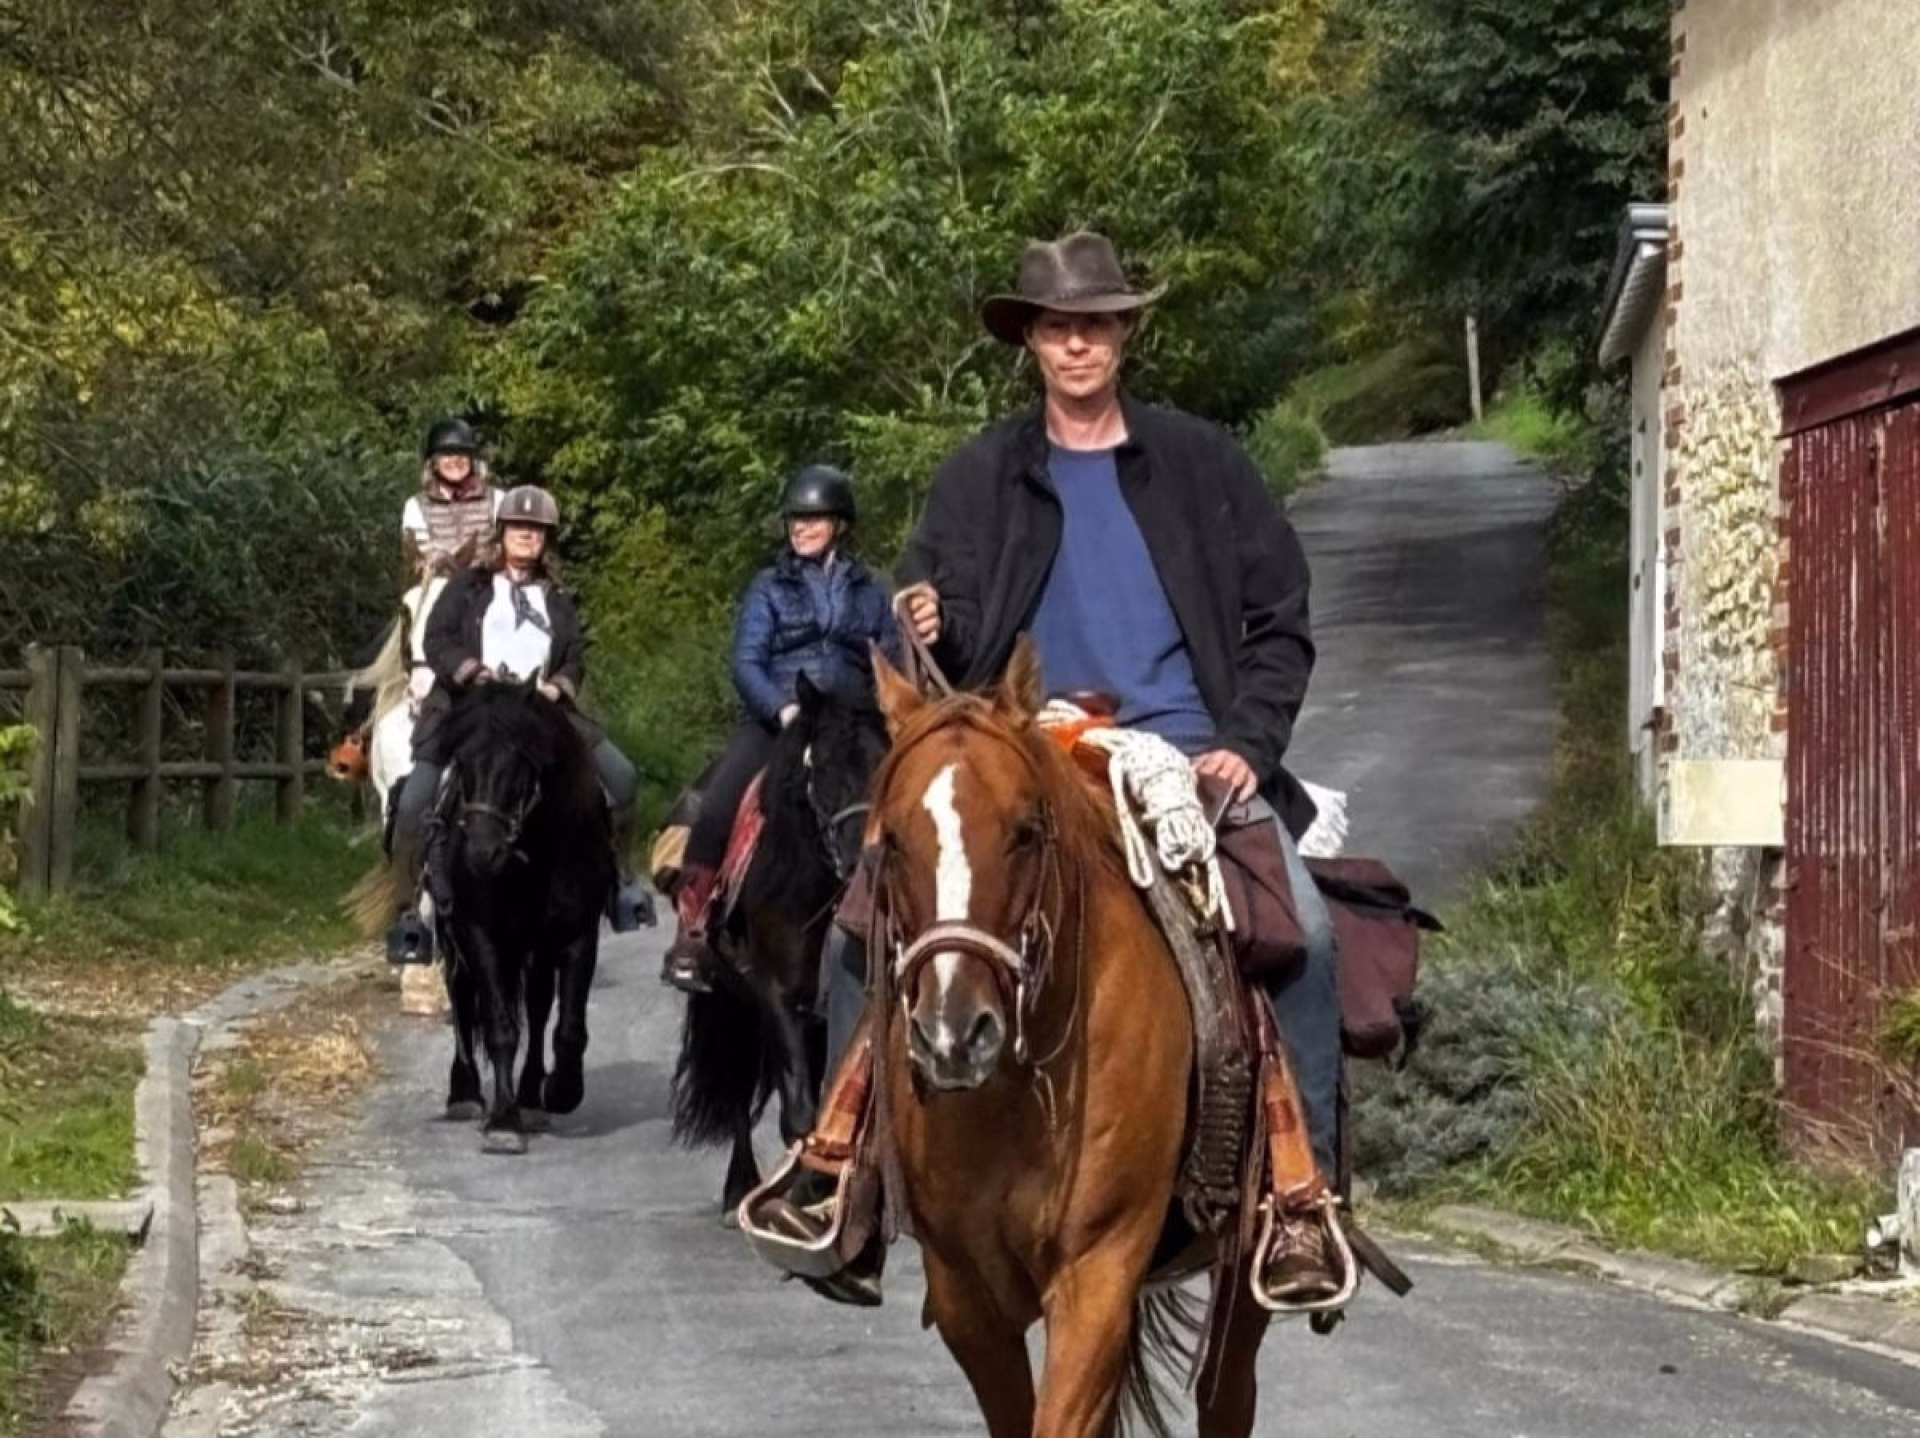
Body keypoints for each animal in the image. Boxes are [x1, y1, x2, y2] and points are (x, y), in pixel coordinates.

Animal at [356, 679, 611, 1154]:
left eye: (522, 764)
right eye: (462, 764)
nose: (481, 852)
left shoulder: (576, 935)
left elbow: (567, 1026)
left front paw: (560, 1092)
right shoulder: (481, 933)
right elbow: (498, 1025)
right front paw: (504, 1122)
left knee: (538, 1007)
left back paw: (532, 1098)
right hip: (454, 934)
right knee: (461, 997)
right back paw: (466, 1093)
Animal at [670, 674, 890, 1217]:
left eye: (883, 761)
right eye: (823, 765)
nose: (859, 859)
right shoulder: (776, 993)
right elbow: (798, 1108)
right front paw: (799, 1192)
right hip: (735, 1003)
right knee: (740, 1089)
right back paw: (738, 1189)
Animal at [863, 636, 1274, 1438]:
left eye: (1026, 831)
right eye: (891, 841)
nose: (954, 1034)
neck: (1017, 1098)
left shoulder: (1096, 1276)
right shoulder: (964, 1297)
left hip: (1243, 1282)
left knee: (1226, 1393)